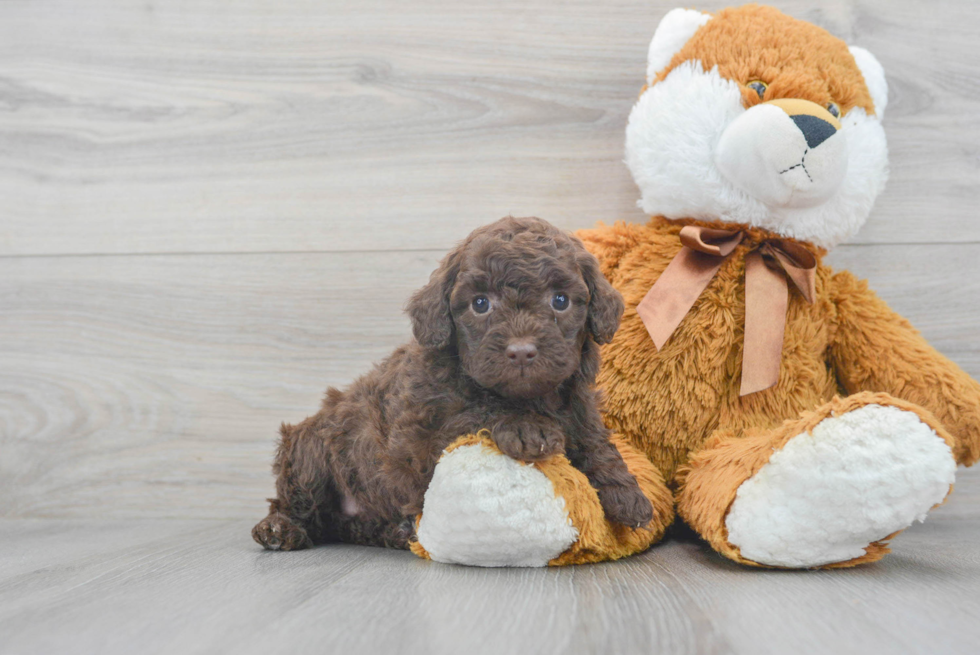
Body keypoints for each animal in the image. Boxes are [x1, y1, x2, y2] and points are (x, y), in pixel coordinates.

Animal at [253, 218, 656, 552]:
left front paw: (626, 491)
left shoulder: (578, 402)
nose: (521, 351)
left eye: (560, 301)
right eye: (480, 304)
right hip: (310, 452)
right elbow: (477, 408)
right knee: (298, 505)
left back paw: (397, 531)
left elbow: (594, 438)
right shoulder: (420, 437)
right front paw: (528, 428)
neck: (532, 397)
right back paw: (278, 529)